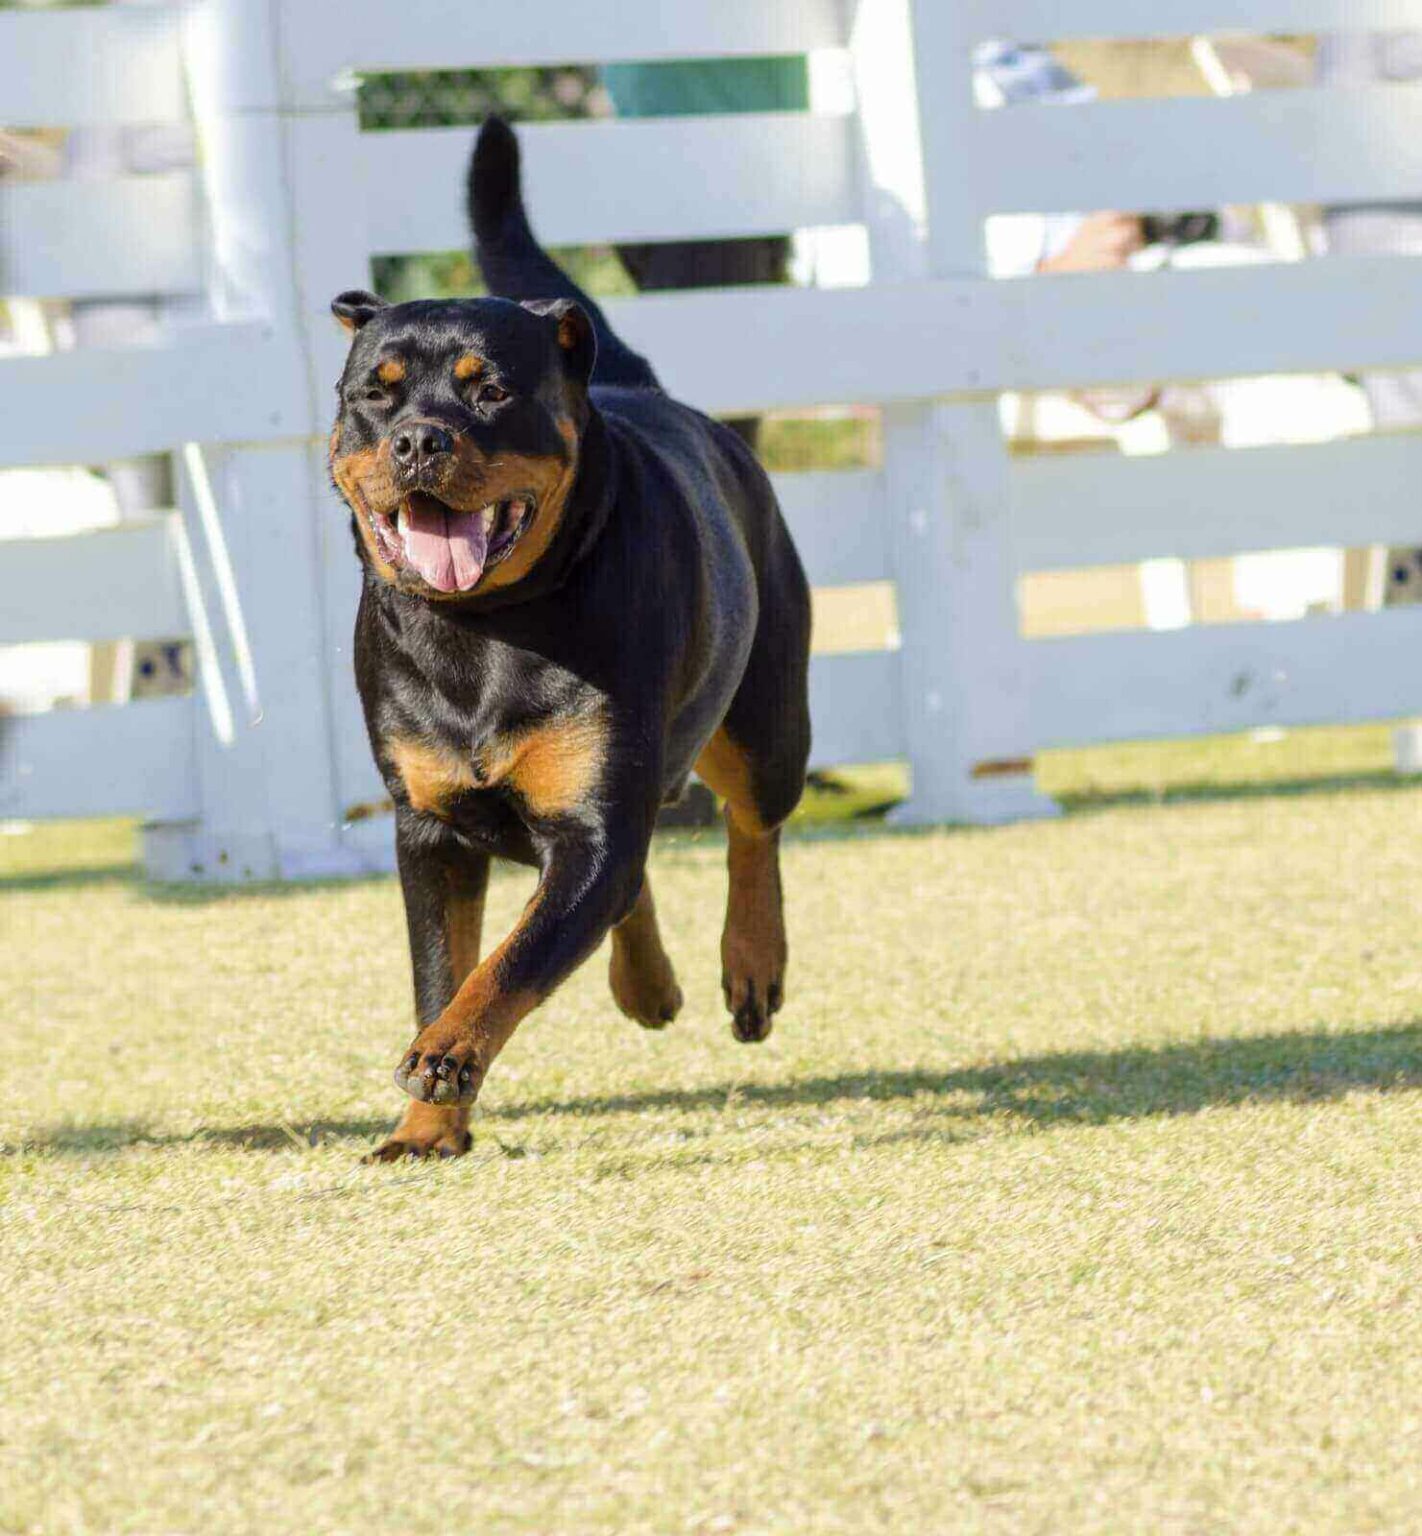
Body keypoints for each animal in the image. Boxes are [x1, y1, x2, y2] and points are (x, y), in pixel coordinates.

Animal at [325, 119, 810, 1155]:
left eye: (491, 391)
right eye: (375, 394)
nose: (418, 439)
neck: (481, 632)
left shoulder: (593, 817)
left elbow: (507, 963)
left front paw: (447, 1057)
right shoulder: (430, 830)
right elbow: (445, 967)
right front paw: (426, 1129)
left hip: (765, 715)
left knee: (753, 821)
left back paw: (752, 961)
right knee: (634, 874)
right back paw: (647, 983)